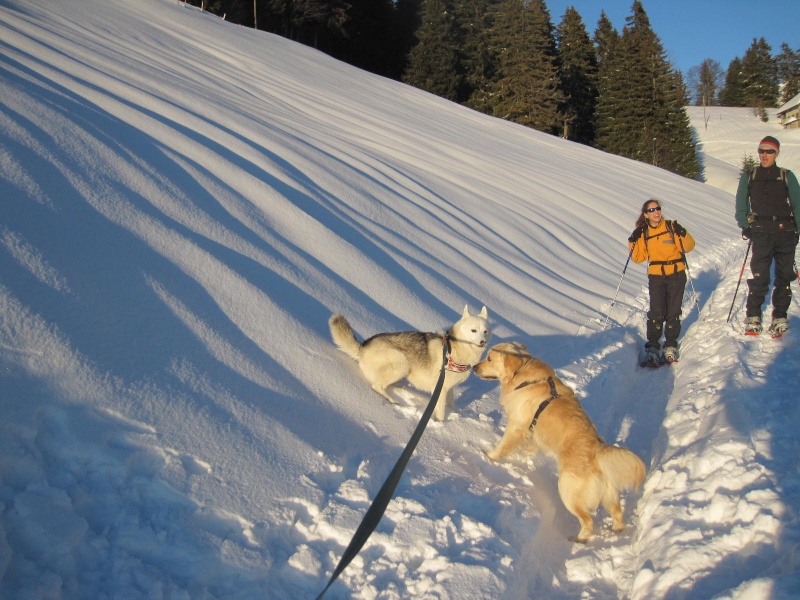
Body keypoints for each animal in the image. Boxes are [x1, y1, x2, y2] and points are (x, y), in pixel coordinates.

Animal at [328, 308, 490, 420]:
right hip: (401, 363)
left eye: (485, 331)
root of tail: (363, 347)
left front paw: (457, 415)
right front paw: (442, 426)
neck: (454, 348)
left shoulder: (448, 389)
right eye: (473, 330)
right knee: (376, 386)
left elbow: (452, 405)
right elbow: (441, 413)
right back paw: (393, 401)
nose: (483, 342)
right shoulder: (441, 389)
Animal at [472, 342, 648, 544]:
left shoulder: (516, 425)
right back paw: (617, 530)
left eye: (489, 359)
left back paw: (579, 539)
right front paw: (526, 455)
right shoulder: (533, 430)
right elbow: (532, 445)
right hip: (609, 495)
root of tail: (597, 453)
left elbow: (503, 445)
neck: (523, 374)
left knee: (588, 520)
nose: (473, 367)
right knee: (617, 513)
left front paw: (489, 456)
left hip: (567, 490)